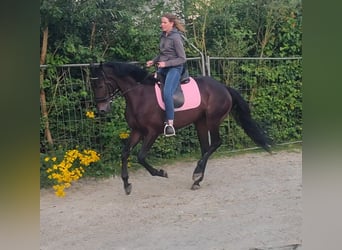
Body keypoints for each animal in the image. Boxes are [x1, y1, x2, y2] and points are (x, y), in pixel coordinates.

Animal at [89, 61, 272, 194]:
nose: (102, 110)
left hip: (213, 120)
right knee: (206, 148)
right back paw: (197, 180)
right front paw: (126, 184)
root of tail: (223, 87)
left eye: (100, 85)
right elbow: (125, 153)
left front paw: (161, 173)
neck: (139, 96)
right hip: (200, 122)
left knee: (215, 143)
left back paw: (196, 173)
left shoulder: (152, 132)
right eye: (92, 86)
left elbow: (140, 157)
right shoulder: (137, 131)